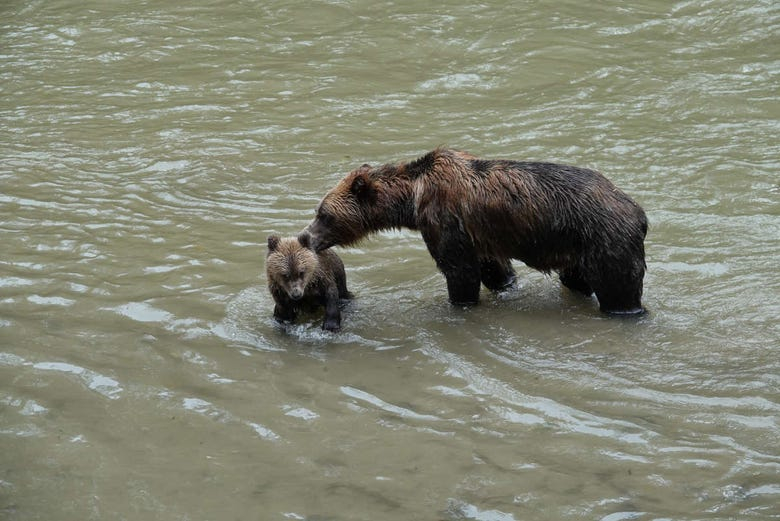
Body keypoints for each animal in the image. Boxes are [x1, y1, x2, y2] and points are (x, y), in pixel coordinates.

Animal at [298, 148, 644, 314]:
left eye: (323, 214)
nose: (304, 236)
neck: (412, 200)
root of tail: (638, 211)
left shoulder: (445, 219)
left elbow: (460, 271)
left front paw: (456, 302)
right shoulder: (479, 236)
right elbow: (494, 269)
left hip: (605, 240)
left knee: (619, 290)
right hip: (576, 249)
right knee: (575, 279)